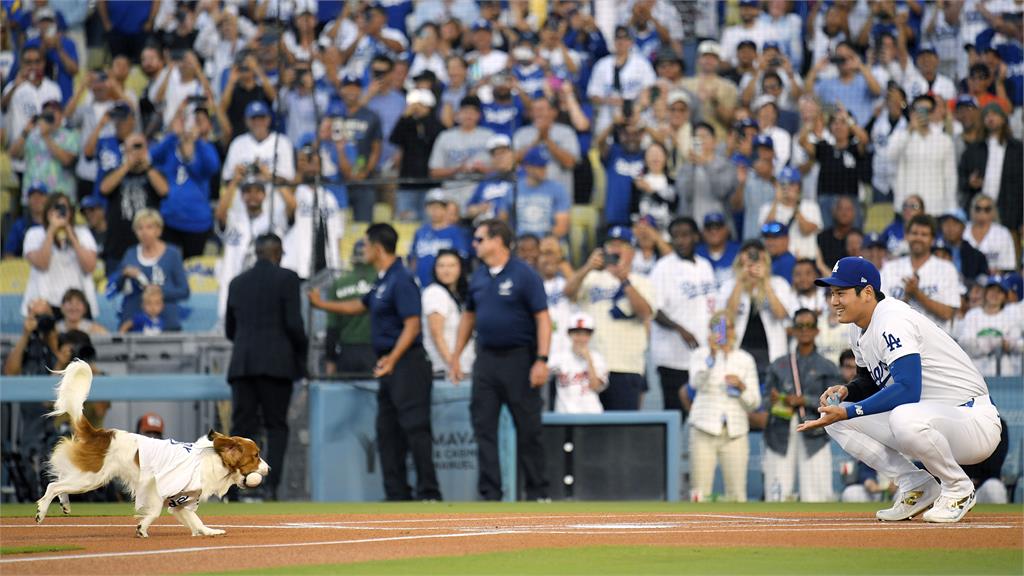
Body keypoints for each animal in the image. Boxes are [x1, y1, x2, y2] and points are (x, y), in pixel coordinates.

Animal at [35, 356, 270, 537]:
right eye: (256, 456)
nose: (268, 468)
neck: (213, 462)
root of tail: (100, 433)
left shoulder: (182, 501)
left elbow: (196, 520)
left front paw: (209, 532)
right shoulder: (157, 486)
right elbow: (156, 510)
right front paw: (142, 528)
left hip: (86, 477)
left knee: (60, 481)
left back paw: (64, 504)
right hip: (91, 478)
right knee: (53, 486)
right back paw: (41, 510)